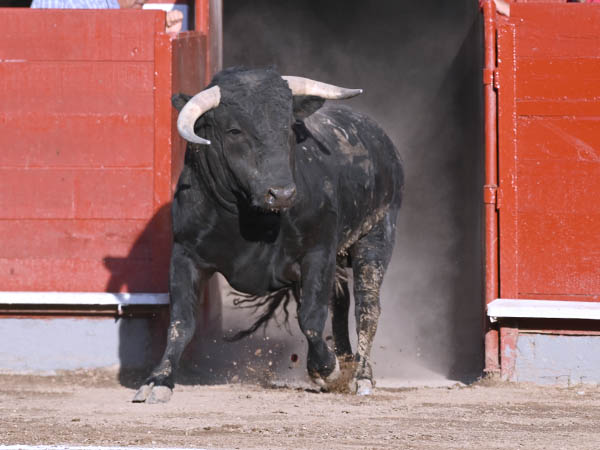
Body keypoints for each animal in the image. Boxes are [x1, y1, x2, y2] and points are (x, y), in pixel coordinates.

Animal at [134, 67, 406, 404]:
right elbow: (180, 322)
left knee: (367, 307)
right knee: (340, 307)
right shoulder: (185, 254)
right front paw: (158, 380)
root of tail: (381, 139)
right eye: (234, 130)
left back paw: (360, 377)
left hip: (376, 236)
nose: (283, 194)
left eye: (288, 126)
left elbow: (311, 318)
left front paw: (327, 369)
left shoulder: (318, 252)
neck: (252, 217)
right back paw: (344, 362)